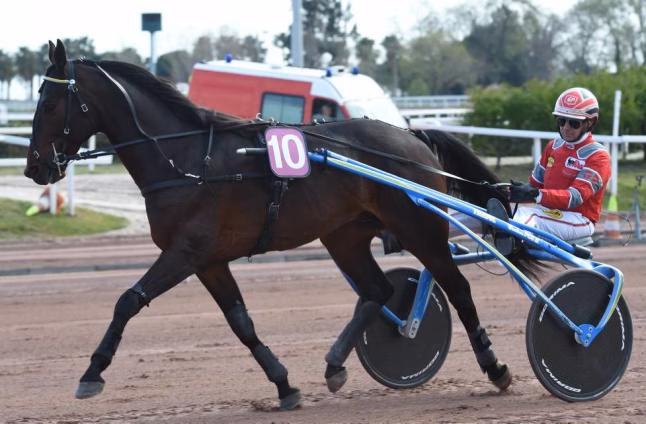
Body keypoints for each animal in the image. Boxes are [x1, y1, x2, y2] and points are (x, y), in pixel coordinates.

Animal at [26, 39, 539, 410]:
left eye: (49, 103)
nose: (34, 168)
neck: (187, 159)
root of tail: (411, 136)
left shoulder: (185, 251)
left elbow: (128, 300)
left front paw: (91, 373)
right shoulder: (209, 261)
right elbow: (242, 323)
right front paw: (285, 385)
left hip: (421, 228)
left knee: (458, 289)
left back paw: (496, 367)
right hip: (344, 235)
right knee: (379, 290)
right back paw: (334, 365)